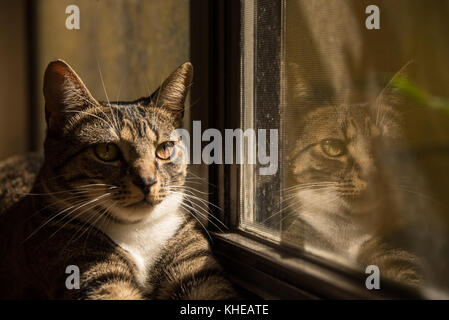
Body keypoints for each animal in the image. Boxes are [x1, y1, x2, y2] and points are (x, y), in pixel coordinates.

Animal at [0, 60, 238, 300]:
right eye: (106, 151)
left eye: (164, 149)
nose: (147, 181)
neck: (138, 233)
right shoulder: (87, 272)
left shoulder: (197, 270)